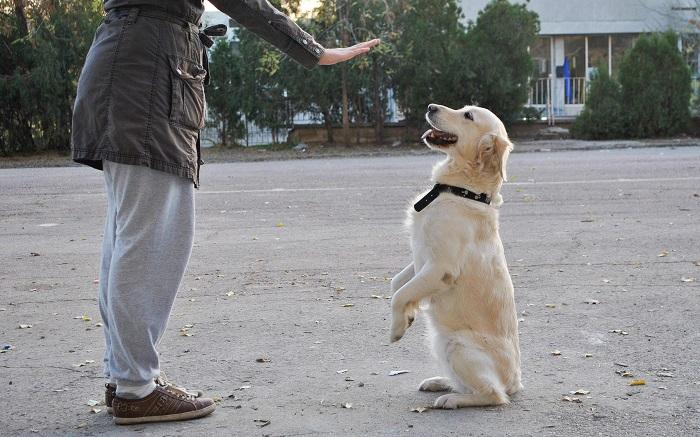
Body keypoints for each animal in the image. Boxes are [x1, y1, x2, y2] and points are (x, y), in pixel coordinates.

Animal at [392, 103, 524, 408]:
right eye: (463, 108)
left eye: (468, 116)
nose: (430, 106)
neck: (462, 191)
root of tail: (516, 383)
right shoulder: (421, 257)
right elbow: (398, 284)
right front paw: (408, 314)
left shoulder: (440, 267)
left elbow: (399, 294)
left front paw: (397, 327)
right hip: (440, 344)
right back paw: (439, 382)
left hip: (457, 345)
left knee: (494, 395)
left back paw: (451, 399)